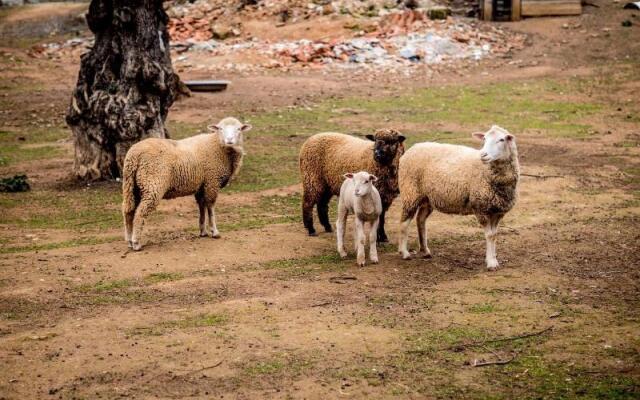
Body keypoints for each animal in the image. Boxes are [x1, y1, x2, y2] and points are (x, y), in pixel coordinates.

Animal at [121, 115, 251, 250]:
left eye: (239, 129)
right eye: (220, 129)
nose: (229, 140)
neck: (218, 146)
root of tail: (134, 155)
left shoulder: (202, 185)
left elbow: (202, 206)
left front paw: (203, 231)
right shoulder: (212, 181)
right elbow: (210, 207)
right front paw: (214, 231)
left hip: (131, 186)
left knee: (128, 211)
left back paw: (129, 240)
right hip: (152, 184)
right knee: (140, 213)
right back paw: (136, 242)